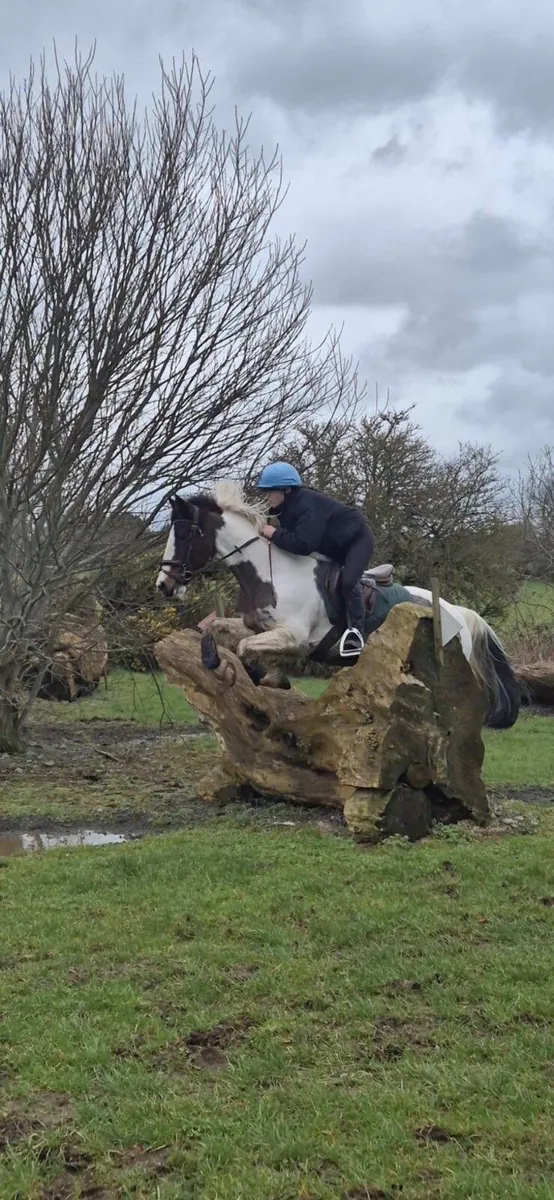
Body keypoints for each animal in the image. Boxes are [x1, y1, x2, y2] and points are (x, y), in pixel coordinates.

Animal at [156, 481, 520, 729]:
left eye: (184, 535)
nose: (164, 585)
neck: (270, 572)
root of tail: (459, 612)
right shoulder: (256, 626)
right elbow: (218, 629)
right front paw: (226, 662)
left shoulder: (295, 637)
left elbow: (246, 649)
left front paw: (257, 675)